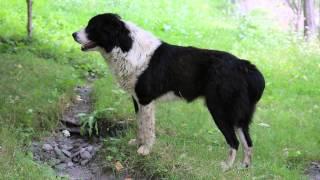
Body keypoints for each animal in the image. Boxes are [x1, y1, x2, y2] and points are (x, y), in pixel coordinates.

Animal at [72, 13, 264, 171]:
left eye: (92, 27)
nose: (73, 34)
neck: (126, 47)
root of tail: (244, 66)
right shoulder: (137, 100)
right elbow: (140, 125)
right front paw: (137, 144)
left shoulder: (146, 100)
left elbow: (148, 128)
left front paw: (145, 150)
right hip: (238, 116)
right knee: (248, 142)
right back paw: (243, 168)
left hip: (220, 110)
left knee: (234, 142)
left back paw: (226, 167)